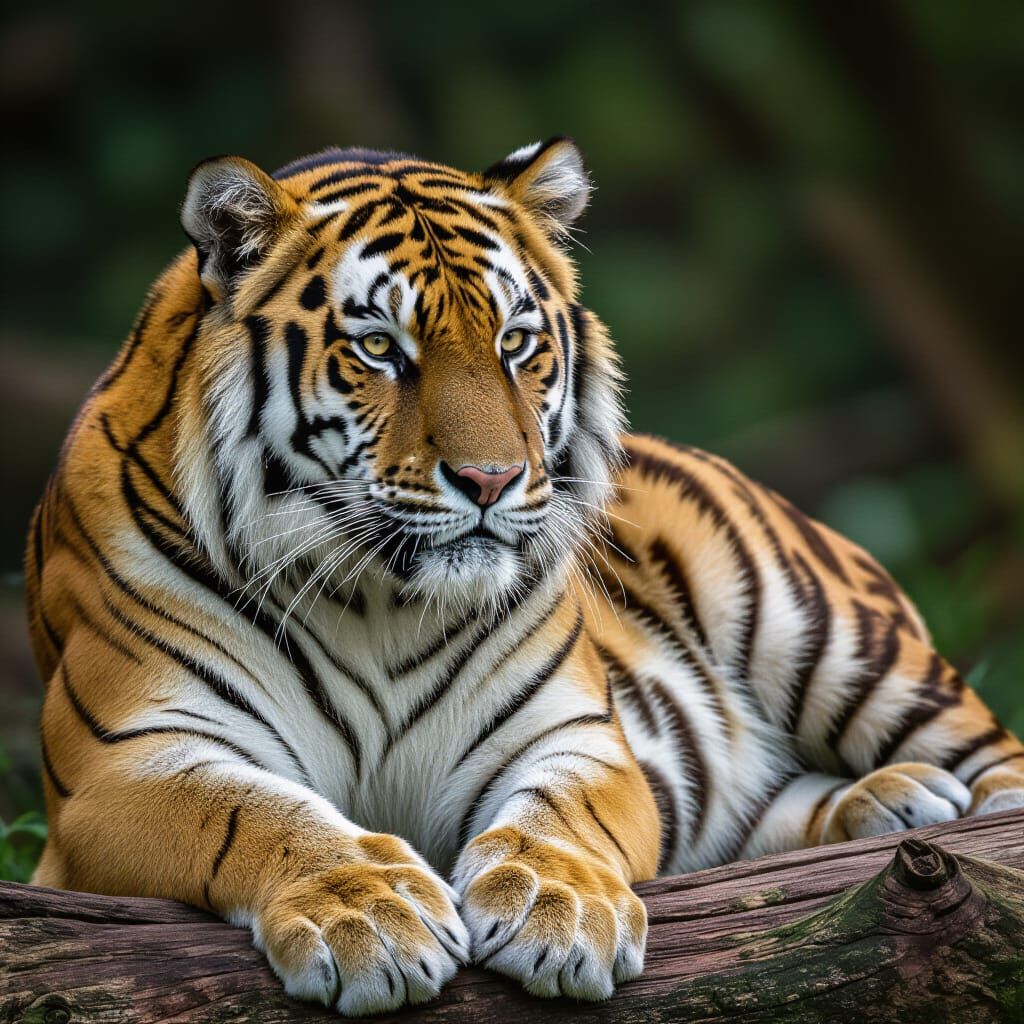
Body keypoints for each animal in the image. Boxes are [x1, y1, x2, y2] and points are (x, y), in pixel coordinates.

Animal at [26, 137, 1024, 1016]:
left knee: (997, 762)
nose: (490, 479)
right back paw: (893, 803)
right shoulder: (126, 763)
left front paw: (558, 911)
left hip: (831, 636)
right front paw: (371, 917)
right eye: (380, 348)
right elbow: (262, 813)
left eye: (514, 341)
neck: (375, 598)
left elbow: (560, 817)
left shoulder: (574, 734)